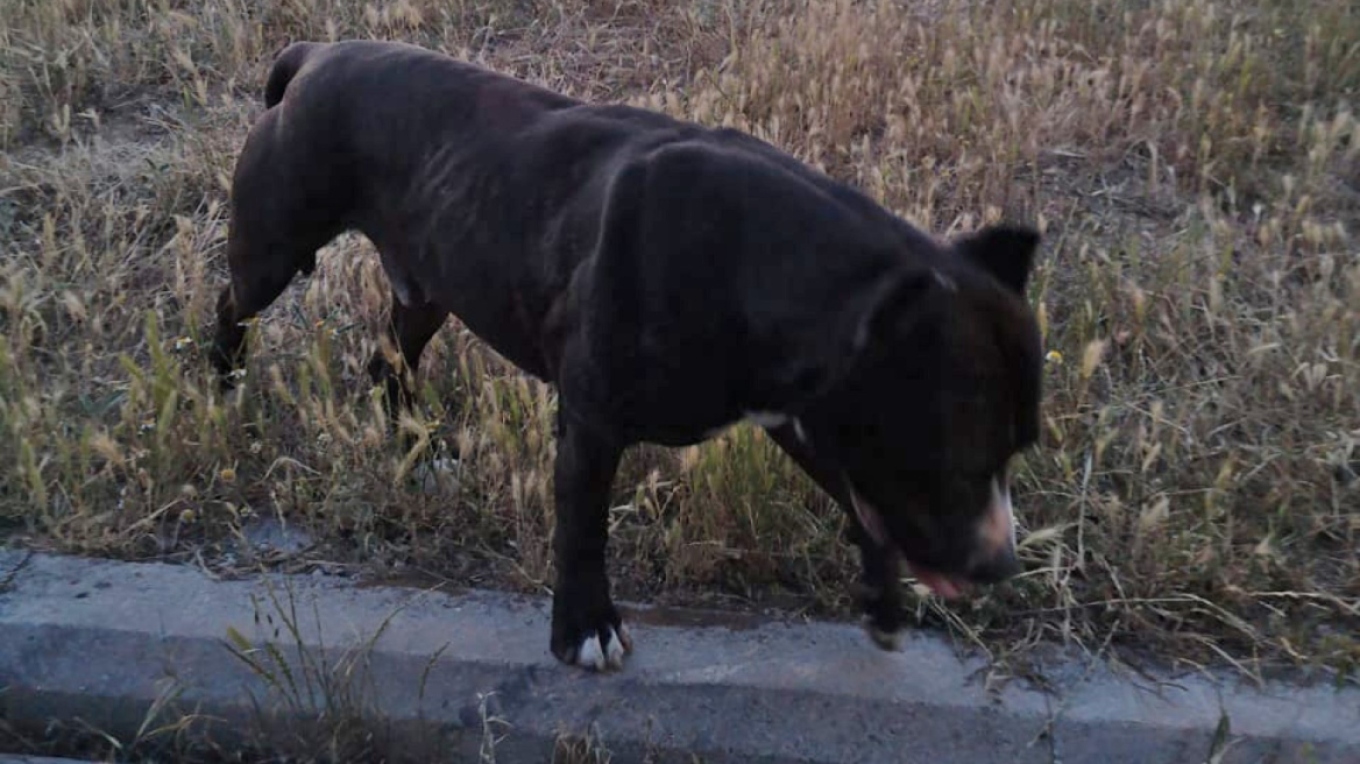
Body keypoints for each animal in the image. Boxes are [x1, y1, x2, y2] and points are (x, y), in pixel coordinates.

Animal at [209, 38, 1039, 668]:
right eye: (957, 459)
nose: (1002, 564)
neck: (768, 261)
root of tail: (316, 55)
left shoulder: (809, 421)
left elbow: (863, 506)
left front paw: (884, 600)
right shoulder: (593, 424)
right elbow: (584, 529)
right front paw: (585, 628)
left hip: (428, 284)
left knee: (391, 359)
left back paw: (416, 445)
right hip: (273, 249)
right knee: (232, 307)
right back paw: (224, 388)